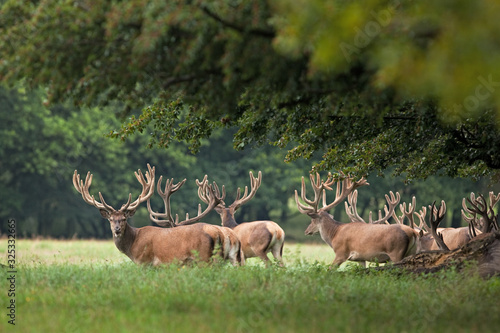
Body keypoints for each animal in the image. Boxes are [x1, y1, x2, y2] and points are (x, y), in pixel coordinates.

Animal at [73, 165, 236, 266]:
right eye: (110, 219)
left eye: (124, 219)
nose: (117, 229)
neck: (133, 246)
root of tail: (219, 234)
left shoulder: (145, 262)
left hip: (203, 257)